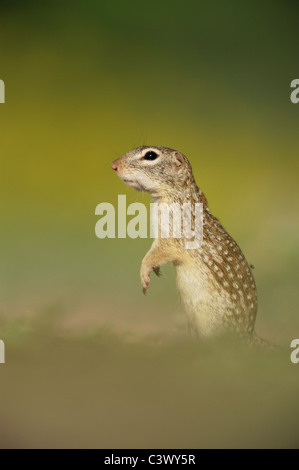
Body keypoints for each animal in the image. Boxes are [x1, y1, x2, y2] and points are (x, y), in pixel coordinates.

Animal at [112, 145, 264, 344]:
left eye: (150, 155)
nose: (114, 165)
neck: (177, 193)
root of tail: (249, 336)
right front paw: (155, 271)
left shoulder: (172, 235)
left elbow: (157, 253)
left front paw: (145, 273)